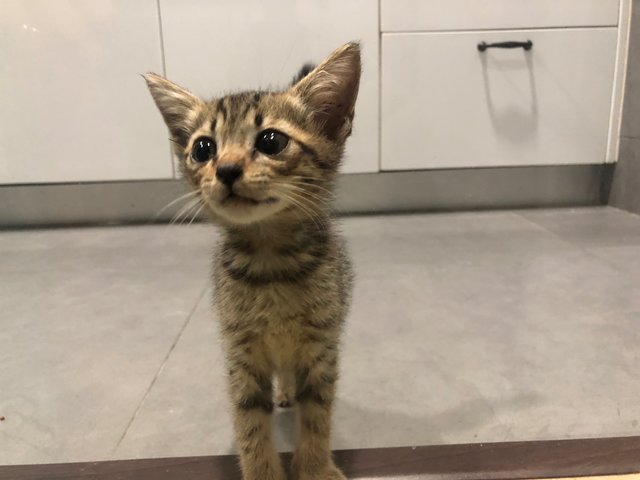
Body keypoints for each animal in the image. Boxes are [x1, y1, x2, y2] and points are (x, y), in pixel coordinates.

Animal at [145, 42, 362, 480]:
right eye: (202, 149)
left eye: (271, 141)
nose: (226, 170)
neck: (270, 262)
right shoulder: (240, 355)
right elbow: (249, 423)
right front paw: (263, 471)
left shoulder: (321, 347)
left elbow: (318, 414)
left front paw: (316, 468)